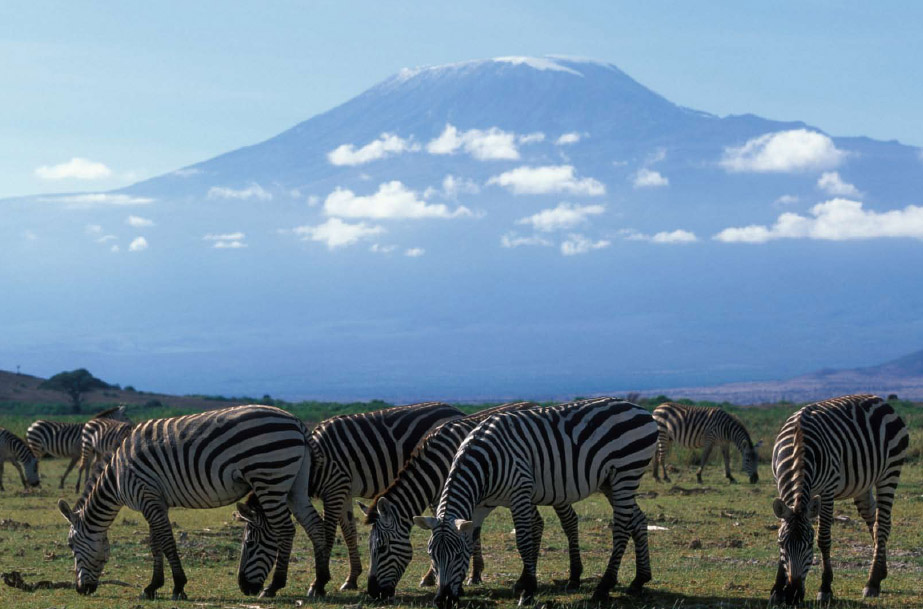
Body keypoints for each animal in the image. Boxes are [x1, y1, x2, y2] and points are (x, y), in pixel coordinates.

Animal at [55, 404, 328, 600]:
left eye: (70, 545)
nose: (80, 590)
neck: (117, 477)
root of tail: (296, 422)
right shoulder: (155, 501)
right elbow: (155, 543)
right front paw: (153, 586)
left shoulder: (147, 495)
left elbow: (166, 541)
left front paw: (177, 586)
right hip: (293, 485)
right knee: (314, 525)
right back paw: (319, 584)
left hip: (269, 477)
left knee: (286, 529)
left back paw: (274, 587)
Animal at [236, 402, 462, 596]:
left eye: (250, 543)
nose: (244, 587)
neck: (312, 463)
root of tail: (456, 410)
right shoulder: (343, 492)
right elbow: (349, 532)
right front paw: (351, 579)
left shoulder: (335, 488)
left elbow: (328, 533)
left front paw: (318, 583)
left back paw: (432, 577)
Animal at [358, 400, 580, 600]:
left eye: (382, 548)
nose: (373, 593)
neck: (435, 465)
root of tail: (534, 404)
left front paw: (444, 580)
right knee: (538, 522)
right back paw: (526, 578)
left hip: (554, 486)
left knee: (568, 519)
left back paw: (574, 577)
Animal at [416, 396, 660, 604]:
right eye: (431, 555)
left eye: (456, 555)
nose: (442, 600)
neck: (484, 464)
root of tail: (640, 410)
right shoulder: (478, 506)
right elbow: (472, 536)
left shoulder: (520, 492)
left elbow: (523, 541)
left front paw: (528, 591)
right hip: (610, 482)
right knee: (637, 519)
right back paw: (639, 581)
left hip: (625, 473)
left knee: (621, 527)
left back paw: (604, 587)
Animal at [768, 394, 912, 604]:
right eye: (781, 545)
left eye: (809, 545)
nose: (793, 594)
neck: (798, 445)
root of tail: (879, 399)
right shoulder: (779, 485)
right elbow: (782, 530)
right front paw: (777, 590)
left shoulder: (827, 492)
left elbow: (824, 539)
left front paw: (825, 587)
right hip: (863, 485)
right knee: (874, 522)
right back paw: (880, 574)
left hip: (890, 472)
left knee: (882, 524)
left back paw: (872, 583)